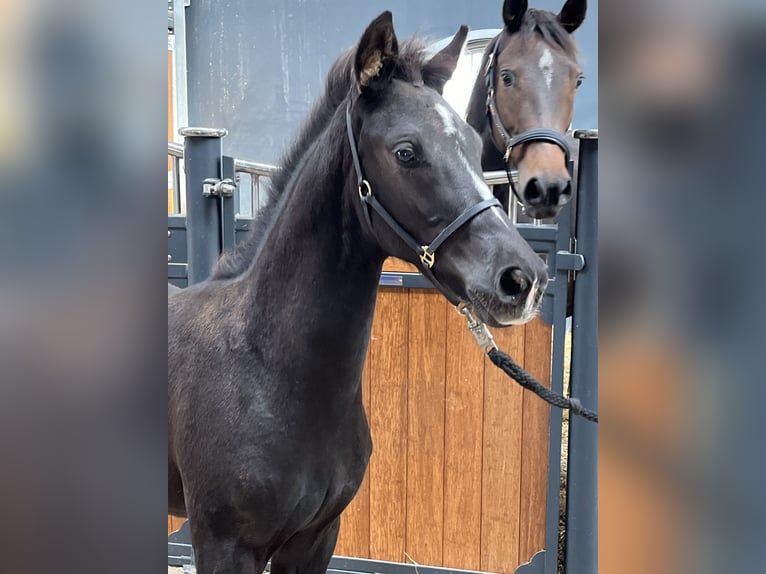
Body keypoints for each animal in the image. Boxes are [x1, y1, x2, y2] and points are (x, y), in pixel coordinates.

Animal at [171, 10, 548, 574]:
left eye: (471, 144)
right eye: (406, 152)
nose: (522, 280)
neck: (266, 370)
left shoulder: (316, 538)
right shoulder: (223, 546)